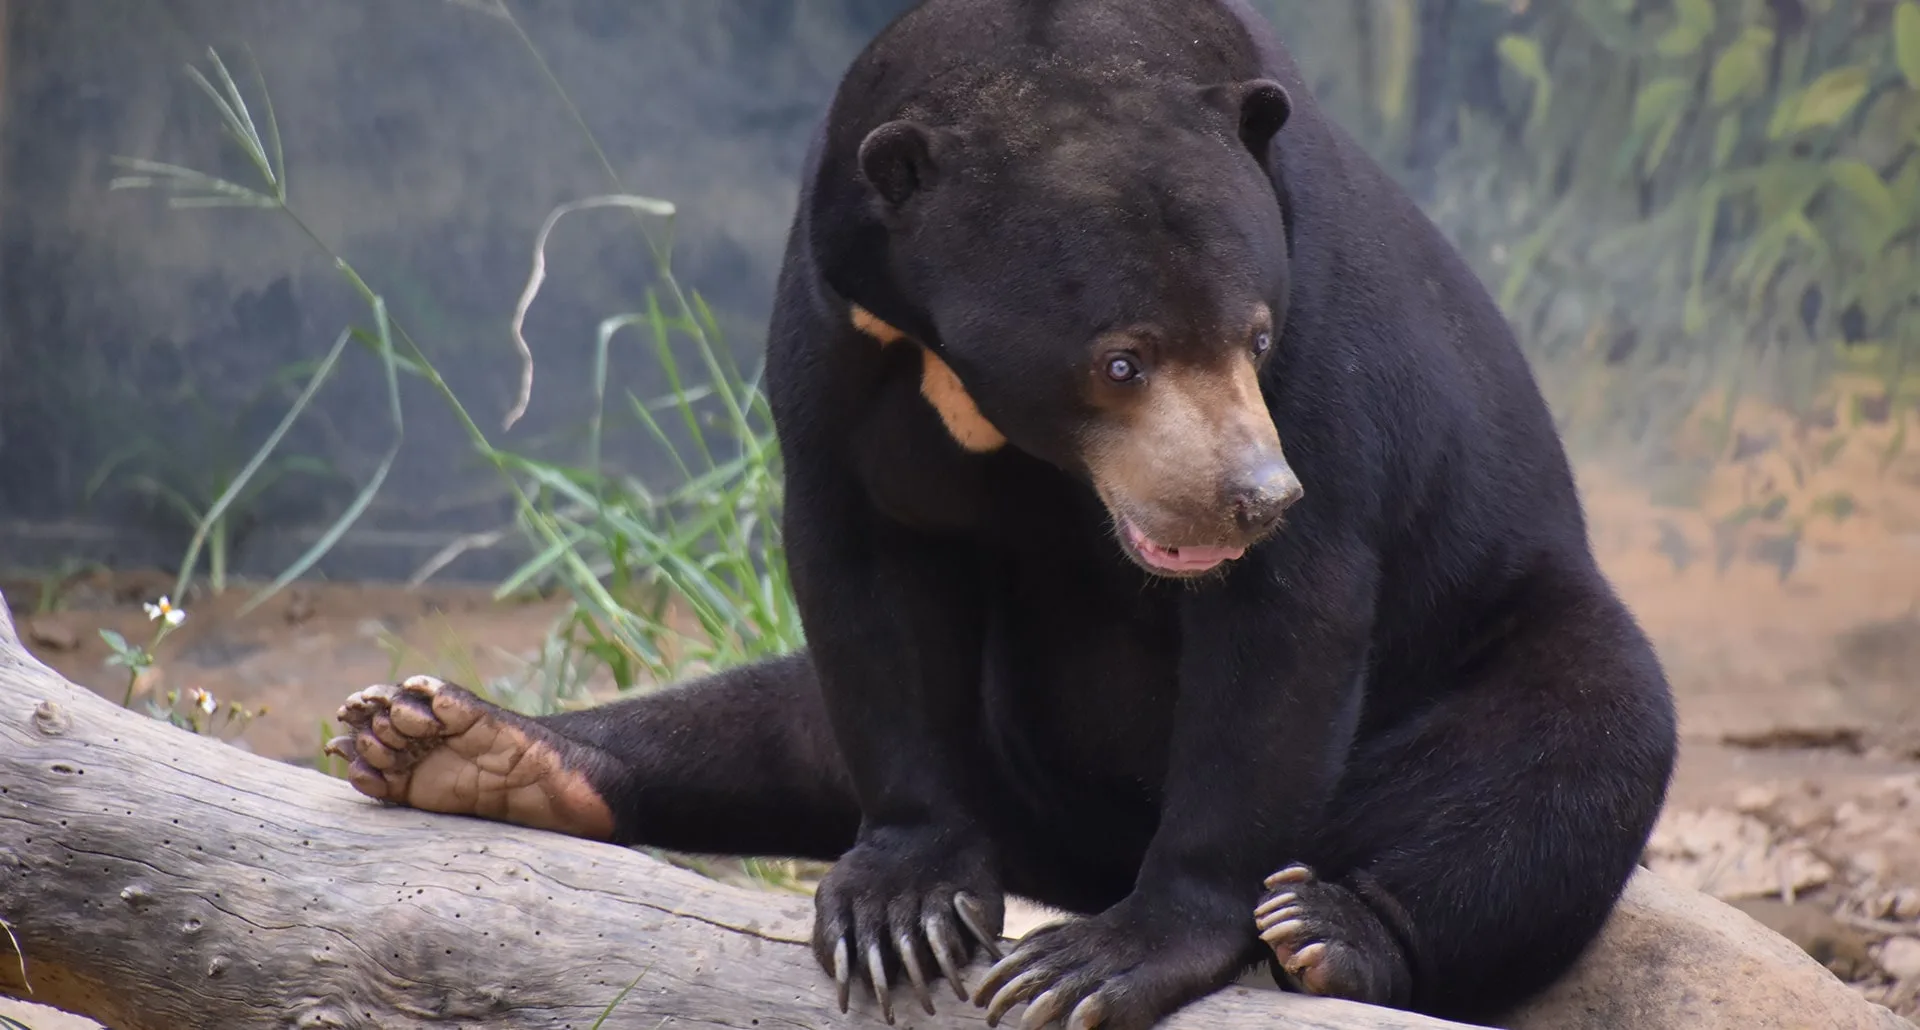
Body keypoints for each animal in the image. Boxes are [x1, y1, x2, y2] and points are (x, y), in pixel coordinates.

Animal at [326, 1, 1679, 1027]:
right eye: (1122, 360)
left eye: (1252, 337)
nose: (1253, 495)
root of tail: (1070, 847)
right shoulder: (834, 329)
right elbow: (866, 574)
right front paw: (903, 910)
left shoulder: (1328, 354)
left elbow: (1291, 621)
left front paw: (1103, 959)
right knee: (777, 722)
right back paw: (454, 743)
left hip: (1491, 638)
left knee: (1573, 751)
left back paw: (1329, 925)